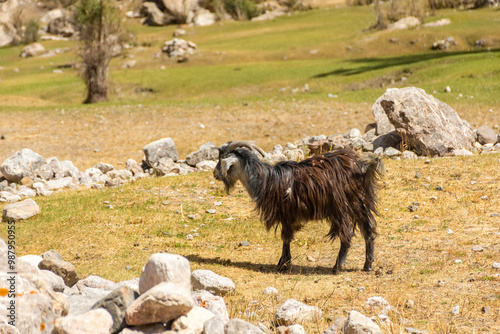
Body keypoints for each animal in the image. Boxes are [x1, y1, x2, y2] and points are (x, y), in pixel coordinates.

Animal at [213, 141, 384, 274]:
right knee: (368, 230)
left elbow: (286, 238)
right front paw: (282, 263)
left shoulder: (286, 214)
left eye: (221, 159)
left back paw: (337, 267)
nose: (215, 174)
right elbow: (286, 239)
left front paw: (284, 265)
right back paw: (368, 265)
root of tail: (362, 166)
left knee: (347, 234)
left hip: (340, 207)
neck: (266, 180)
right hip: (360, 202)